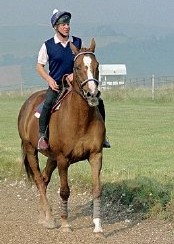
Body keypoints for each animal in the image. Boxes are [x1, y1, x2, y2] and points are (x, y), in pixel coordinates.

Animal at [17, 38, 104, 234]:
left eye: (97, 65)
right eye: (77, 67)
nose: (92, 93)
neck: (81, 119)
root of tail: (27, 103)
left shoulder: (96, 155)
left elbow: (96, 189)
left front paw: (97, 226)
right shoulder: (63, 159)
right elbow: (64, 191)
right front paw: (65, 224)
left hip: (52, 157)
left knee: (44, 178)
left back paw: (43, 214)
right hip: (31, 150)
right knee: (39, 181)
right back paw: (49, 218)